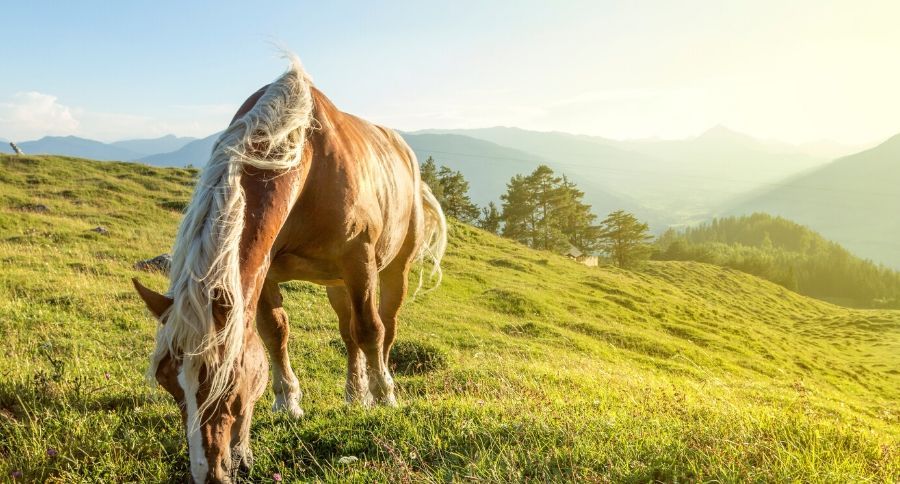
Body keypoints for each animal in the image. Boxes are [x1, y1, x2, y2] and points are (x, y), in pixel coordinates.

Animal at [132, 54, 447, 483]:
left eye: (227, 382)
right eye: (169, 384)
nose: (210, 473)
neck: (309, 160)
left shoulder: (360, 261)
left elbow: (371, 330)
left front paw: (385, 396)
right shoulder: (265, 274)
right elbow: (274, 332)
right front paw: (288, 403)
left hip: (390, 269)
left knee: (383, 326)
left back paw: (377, 385)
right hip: (336, 284)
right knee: (348, 334)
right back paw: (354, 393)